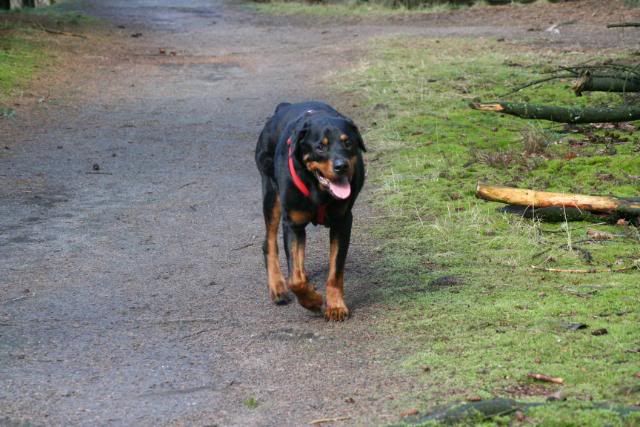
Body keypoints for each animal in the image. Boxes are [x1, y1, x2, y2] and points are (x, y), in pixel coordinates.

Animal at [254, 101, 364, 320]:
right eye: (320, 146)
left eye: (348, 143)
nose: (341, 166)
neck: (319, 191)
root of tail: (284, 106)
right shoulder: (292, 223)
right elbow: (295, 280)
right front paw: (312, 301)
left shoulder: (342, 222)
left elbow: (335, 270)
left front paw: (335, 306)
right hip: (271, 192)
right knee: (270, 242)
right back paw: (278, 287)